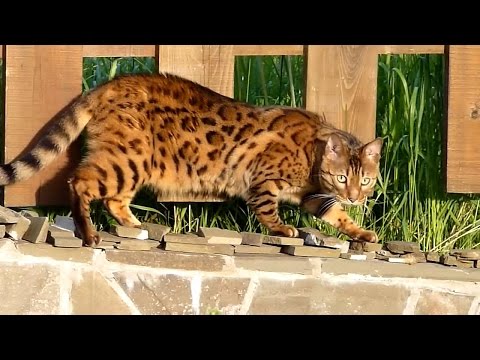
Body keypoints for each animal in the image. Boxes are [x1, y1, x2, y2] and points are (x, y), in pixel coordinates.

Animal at [0, 73, 384, 248]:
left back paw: (133, 224)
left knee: (113, 199)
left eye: (365, 180)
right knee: (79, 182)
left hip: (132, 163)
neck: (312, 154)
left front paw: (362, 231)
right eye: (341, 178)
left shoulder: (312, 196)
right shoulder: (264, 180)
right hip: (128, 159)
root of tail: (110, 84)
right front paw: (280, 229)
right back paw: (88, 231)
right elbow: (267, 210)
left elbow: (337, 215)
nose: (356, 196)